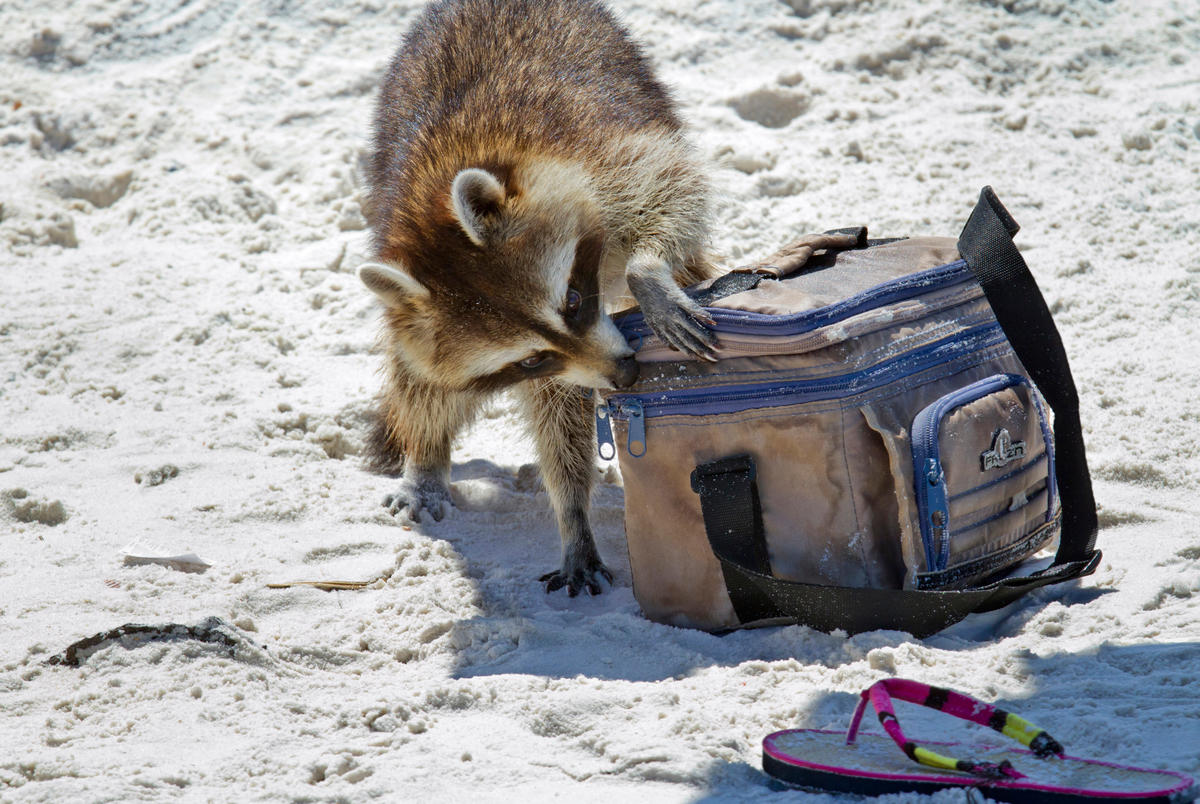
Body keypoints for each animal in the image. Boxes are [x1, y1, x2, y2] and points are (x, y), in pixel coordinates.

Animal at [360, 0, 717, 596]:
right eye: (530, 358)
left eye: (573, 300)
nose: (625, 376)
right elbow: (552, 407)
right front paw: (571, 511)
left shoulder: (600, 161)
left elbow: (672, 189)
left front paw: (646, 270)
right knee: (419, 378)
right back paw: (426, 460)